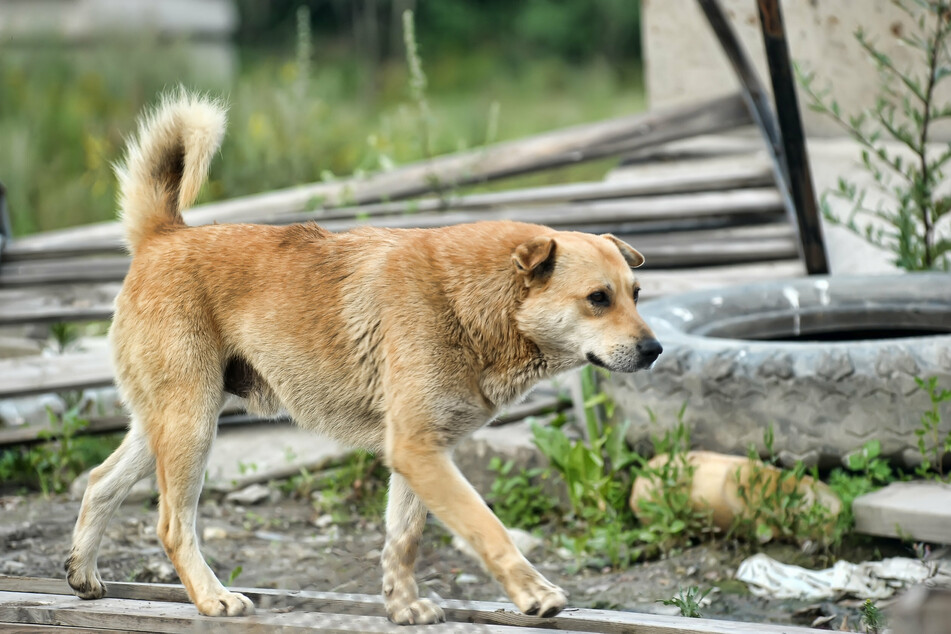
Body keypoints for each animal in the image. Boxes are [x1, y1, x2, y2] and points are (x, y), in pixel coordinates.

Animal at [67, 92, 660, 624]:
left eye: (636, 293)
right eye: (598, 298)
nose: (655, 350)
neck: (471, 302)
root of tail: (162, 235)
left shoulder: (419, 452)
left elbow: (403, 537)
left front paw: (402, 606)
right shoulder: (420, 449)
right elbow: (485, 527)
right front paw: (533, 593)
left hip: (171, 421)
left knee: (100, 481)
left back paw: (83, 574)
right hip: (190, 426)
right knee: (172, 523)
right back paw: (213, 598)